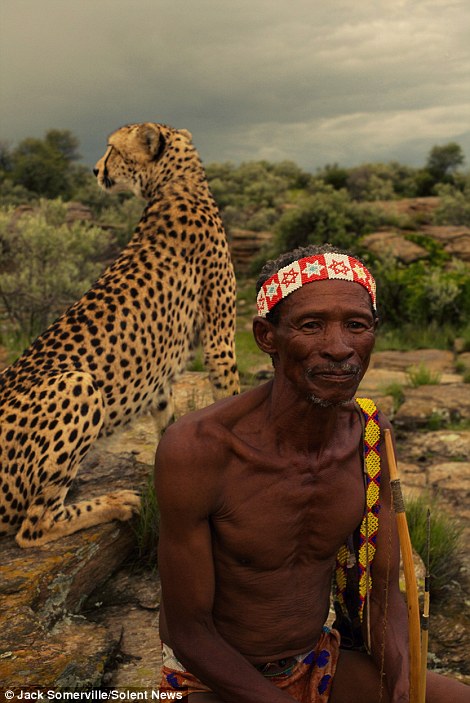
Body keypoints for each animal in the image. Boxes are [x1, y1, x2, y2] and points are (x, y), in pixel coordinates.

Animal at [0, 121, 241, 552]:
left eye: (112, 148)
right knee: (32, 527)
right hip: (77, 383)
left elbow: (167, 425)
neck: (176, 182)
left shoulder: (162, 380)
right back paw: (113, 503)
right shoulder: (218, 342)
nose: (95, 169)